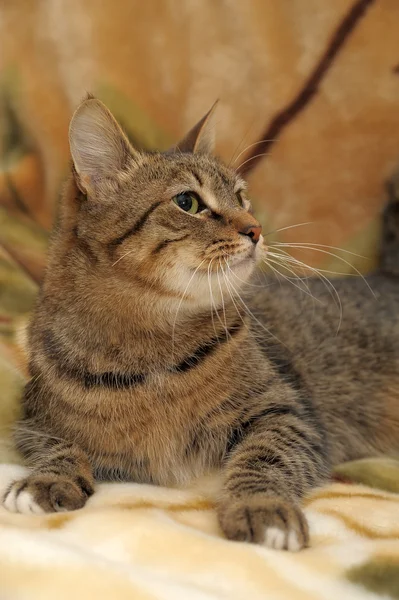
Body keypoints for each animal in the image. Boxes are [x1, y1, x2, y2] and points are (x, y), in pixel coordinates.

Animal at [3, 95, 399, 552]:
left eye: (242, 198)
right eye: (188, 202)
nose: (256, 230)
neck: (151, 345)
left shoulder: (288, 413)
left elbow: (264, 459)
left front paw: (262, 506)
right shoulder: (35, 421)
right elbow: (60, 448)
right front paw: (46, 481)